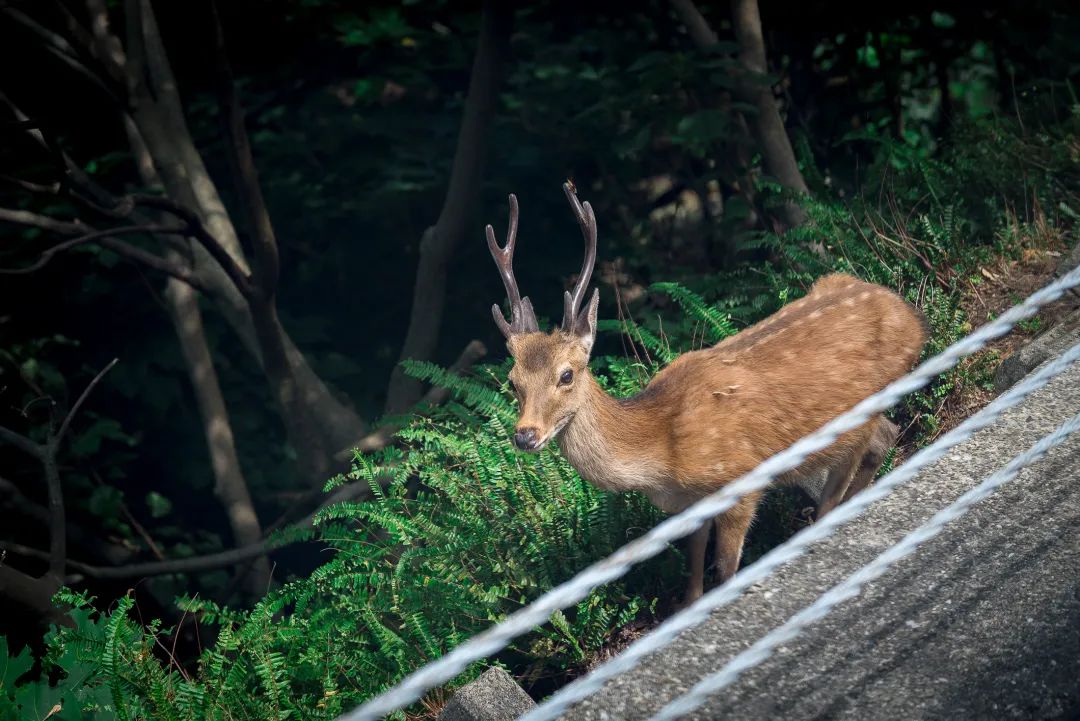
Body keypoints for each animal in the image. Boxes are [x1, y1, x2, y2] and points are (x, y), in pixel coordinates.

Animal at [488, 181, 928, 604]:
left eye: (566, 375)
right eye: (512, 381)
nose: (525, 435)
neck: (663, 454)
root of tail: (913, 319)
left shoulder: (741, 477)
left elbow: (726, 567)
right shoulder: (692, 504)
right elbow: (695, 565)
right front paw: (689, 605)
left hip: (861, 412)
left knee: (863, 452)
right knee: (885, 437)